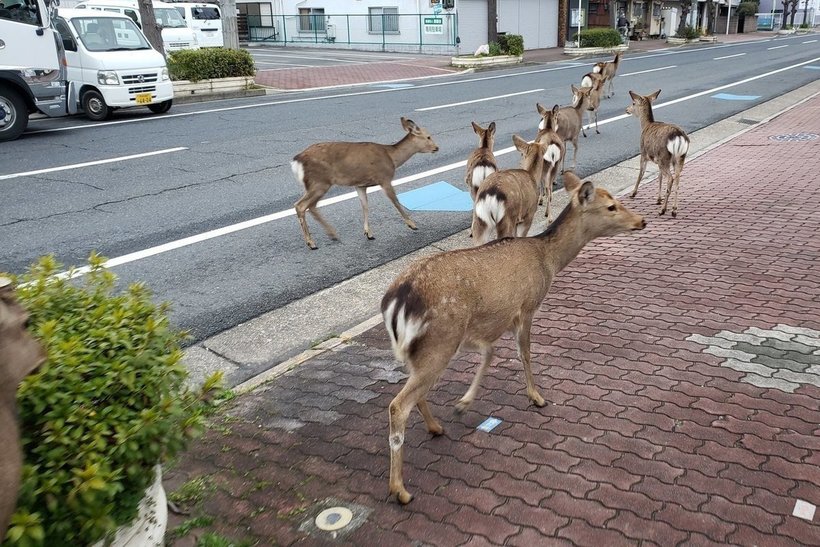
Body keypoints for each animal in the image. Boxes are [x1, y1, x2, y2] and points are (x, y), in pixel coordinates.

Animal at [292, 119, 438, 252]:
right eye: (428, 136)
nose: (437, 147)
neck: (392, 158)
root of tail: (297, 160)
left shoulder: (360, 185)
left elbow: (365, 206)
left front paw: (369, 233)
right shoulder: (384, 178)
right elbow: (395, 201)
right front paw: (412, 224)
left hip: (316, 183)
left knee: (311, 206)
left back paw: (332, 235)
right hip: (320, 182)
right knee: (300, 205)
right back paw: (311, 243)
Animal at [380, 172, 648, 506]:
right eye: (611, 206)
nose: (642, 220)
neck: (548, 260)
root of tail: (396, 302)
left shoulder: (492, 321)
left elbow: (491, 354)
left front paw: (463, 404)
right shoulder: (527, 306)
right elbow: (525, 354)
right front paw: (536, 397)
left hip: (418, 350)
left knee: (416, 393)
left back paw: (436, 427)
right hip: (440, 342)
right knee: (398, 405)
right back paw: (400, 489)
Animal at [628, 89, 692, 217]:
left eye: (633, 103)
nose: (626, 109)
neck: (645, 126)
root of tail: (679, 136)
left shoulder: (643, 153)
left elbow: (641, 173)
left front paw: (633, 193)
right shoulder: (657, 160)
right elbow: (659, 176)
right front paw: (658, 199)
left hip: (664, 157)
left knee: (671, 178)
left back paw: (663, 210)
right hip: (680, 158)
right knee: (677, 179)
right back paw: (674, 209)